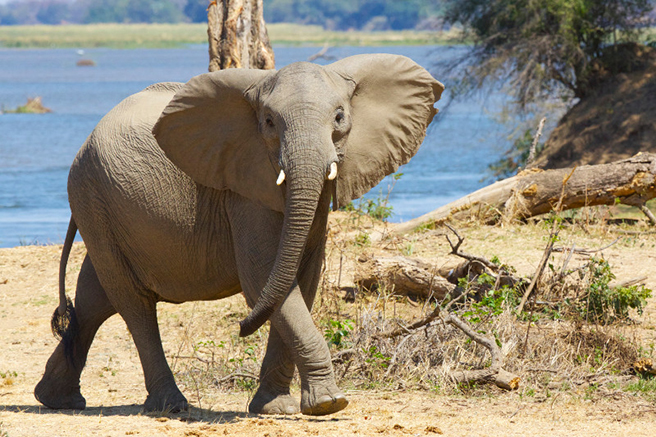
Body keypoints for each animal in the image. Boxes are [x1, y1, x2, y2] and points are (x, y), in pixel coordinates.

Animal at [36, 54, 446, 416]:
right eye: (268, 122)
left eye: (340, 117)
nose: (240, 327)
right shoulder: (243, 187)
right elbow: (263, 278)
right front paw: (329, 404)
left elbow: (302, 280)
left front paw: (278, 408)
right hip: (91, 194)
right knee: (132, 301)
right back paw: (170, 407)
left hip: (104, 207)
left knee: (95, 297)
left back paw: (55, 400)